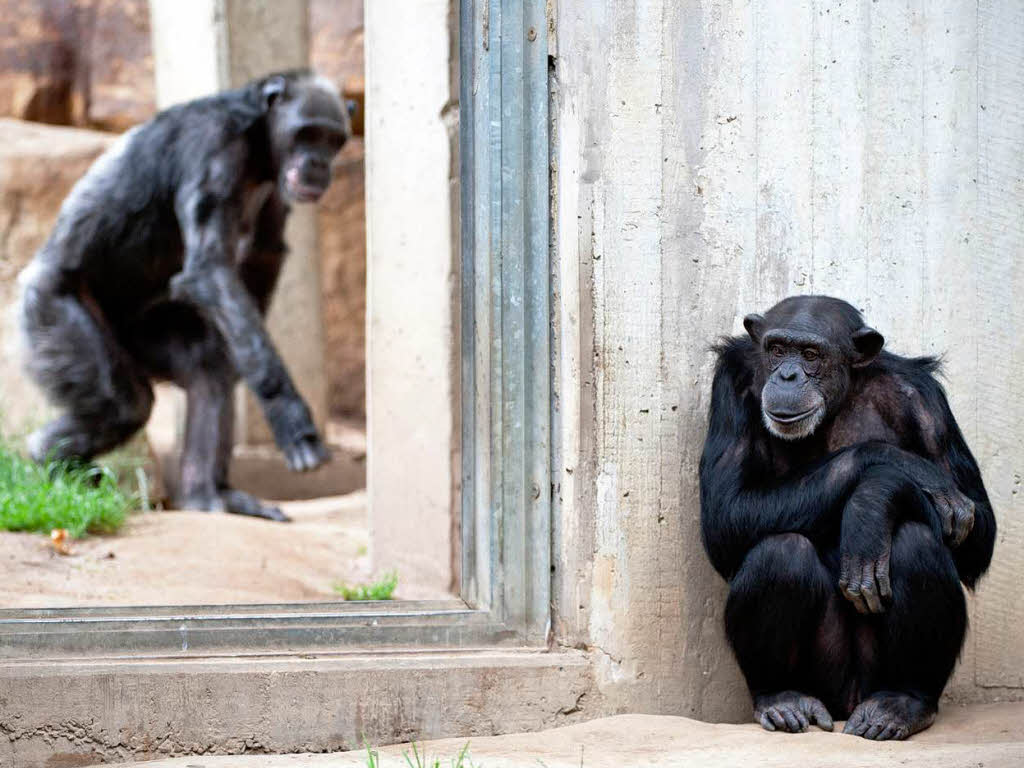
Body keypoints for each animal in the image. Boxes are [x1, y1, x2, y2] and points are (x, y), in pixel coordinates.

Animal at [17, 69, 348, 524]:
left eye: (332, 140)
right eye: (307, 133)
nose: (317, 162)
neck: (257, 145)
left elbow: (264, 253)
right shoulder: (214, 148)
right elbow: (209, 268)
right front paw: (288, 414)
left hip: (144, 336)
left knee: (207, 371)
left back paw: (210, 495)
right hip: (51, 313)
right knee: (124, 405)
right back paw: (48, 458)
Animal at [700, 294, 995, 741]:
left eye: (810, 354)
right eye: (776, 349)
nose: (787, 375)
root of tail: (849, 703)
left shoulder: (927, 403)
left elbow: (977, 529)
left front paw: (875, 500)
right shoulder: (730, 384)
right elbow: (723, 513)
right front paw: (895, 468)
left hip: (872, 677)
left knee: (916, 542)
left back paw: (900, 703)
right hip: (824, 675)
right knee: (780, 552)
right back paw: (782, 697)